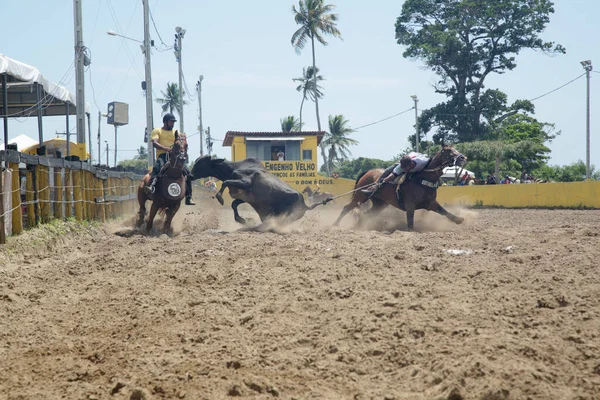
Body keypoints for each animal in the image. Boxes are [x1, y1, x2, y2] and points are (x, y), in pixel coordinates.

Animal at [332, 145, 468, 230]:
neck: (423, 178)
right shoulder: (410, 205)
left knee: (367, 213)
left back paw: (359, 226)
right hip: (360, 196)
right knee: (346, 208)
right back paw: (335, 224)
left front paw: (459, 220)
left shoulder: (431, 203)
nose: (463, 157)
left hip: (380, 203)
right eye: (449, 151)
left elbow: (445, 212)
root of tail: (367, 172)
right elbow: (410, 223)